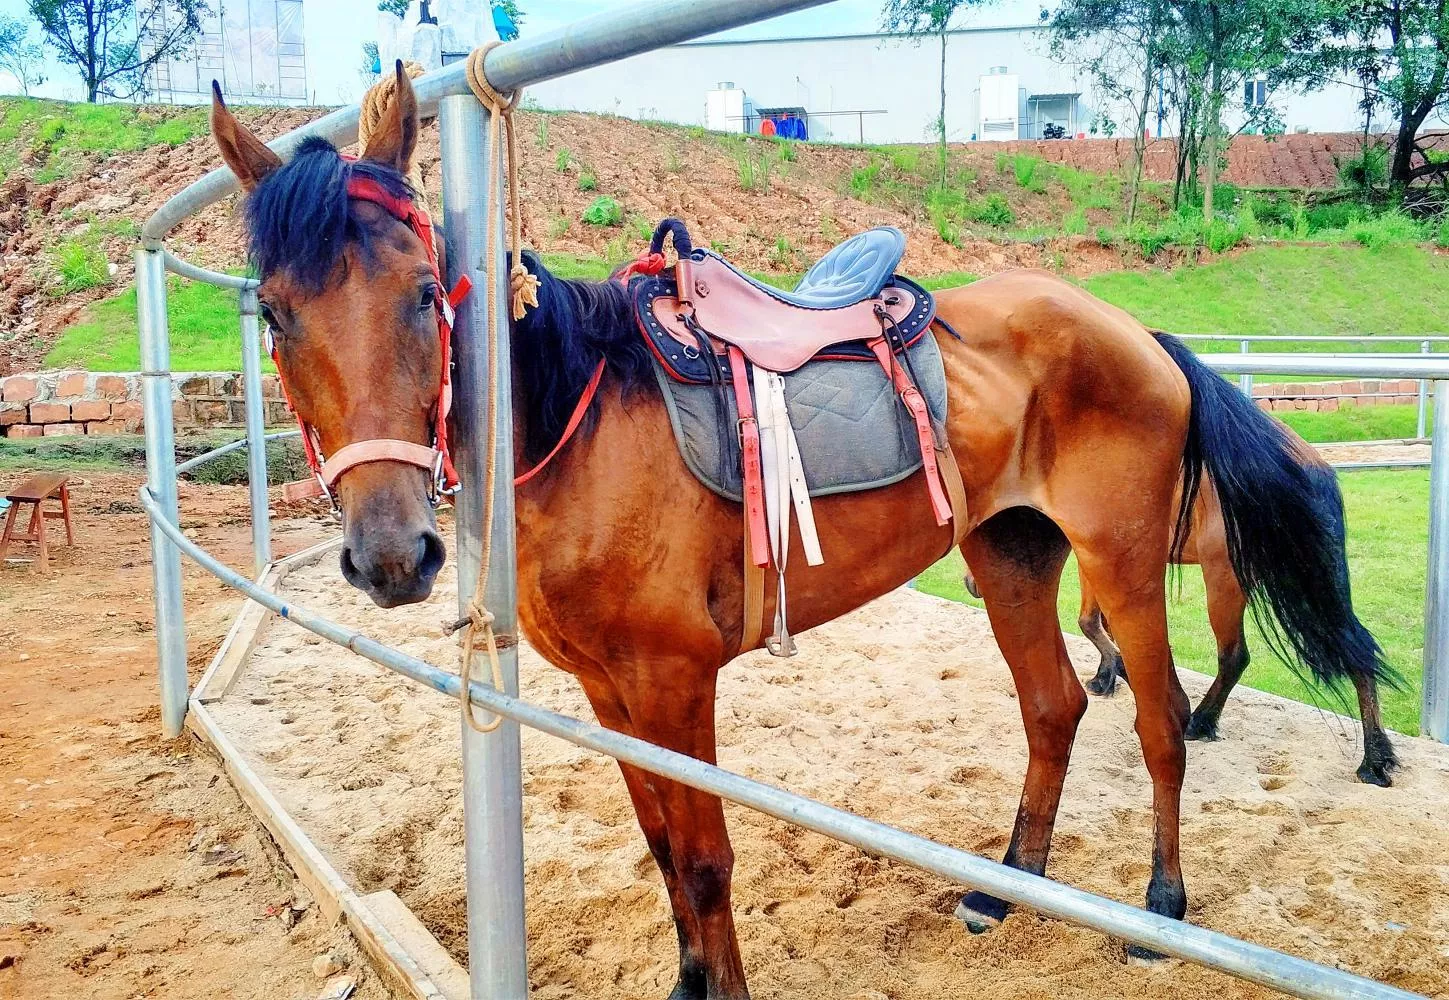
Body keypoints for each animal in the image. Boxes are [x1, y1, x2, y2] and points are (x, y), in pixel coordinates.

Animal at [208, 67, 1394, 998]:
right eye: (276, 313)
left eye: (423, 294)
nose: (391, 555)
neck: (577, 419)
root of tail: (1136, 333)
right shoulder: (608, 692)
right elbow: (659, 846)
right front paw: (687, 979)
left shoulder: (675, 680)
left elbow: (704, 860)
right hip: (1010, 554)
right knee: (1054, 707)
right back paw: (1008, 885)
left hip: (1125, 567)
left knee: (1158, 723)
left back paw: (1160, 910)